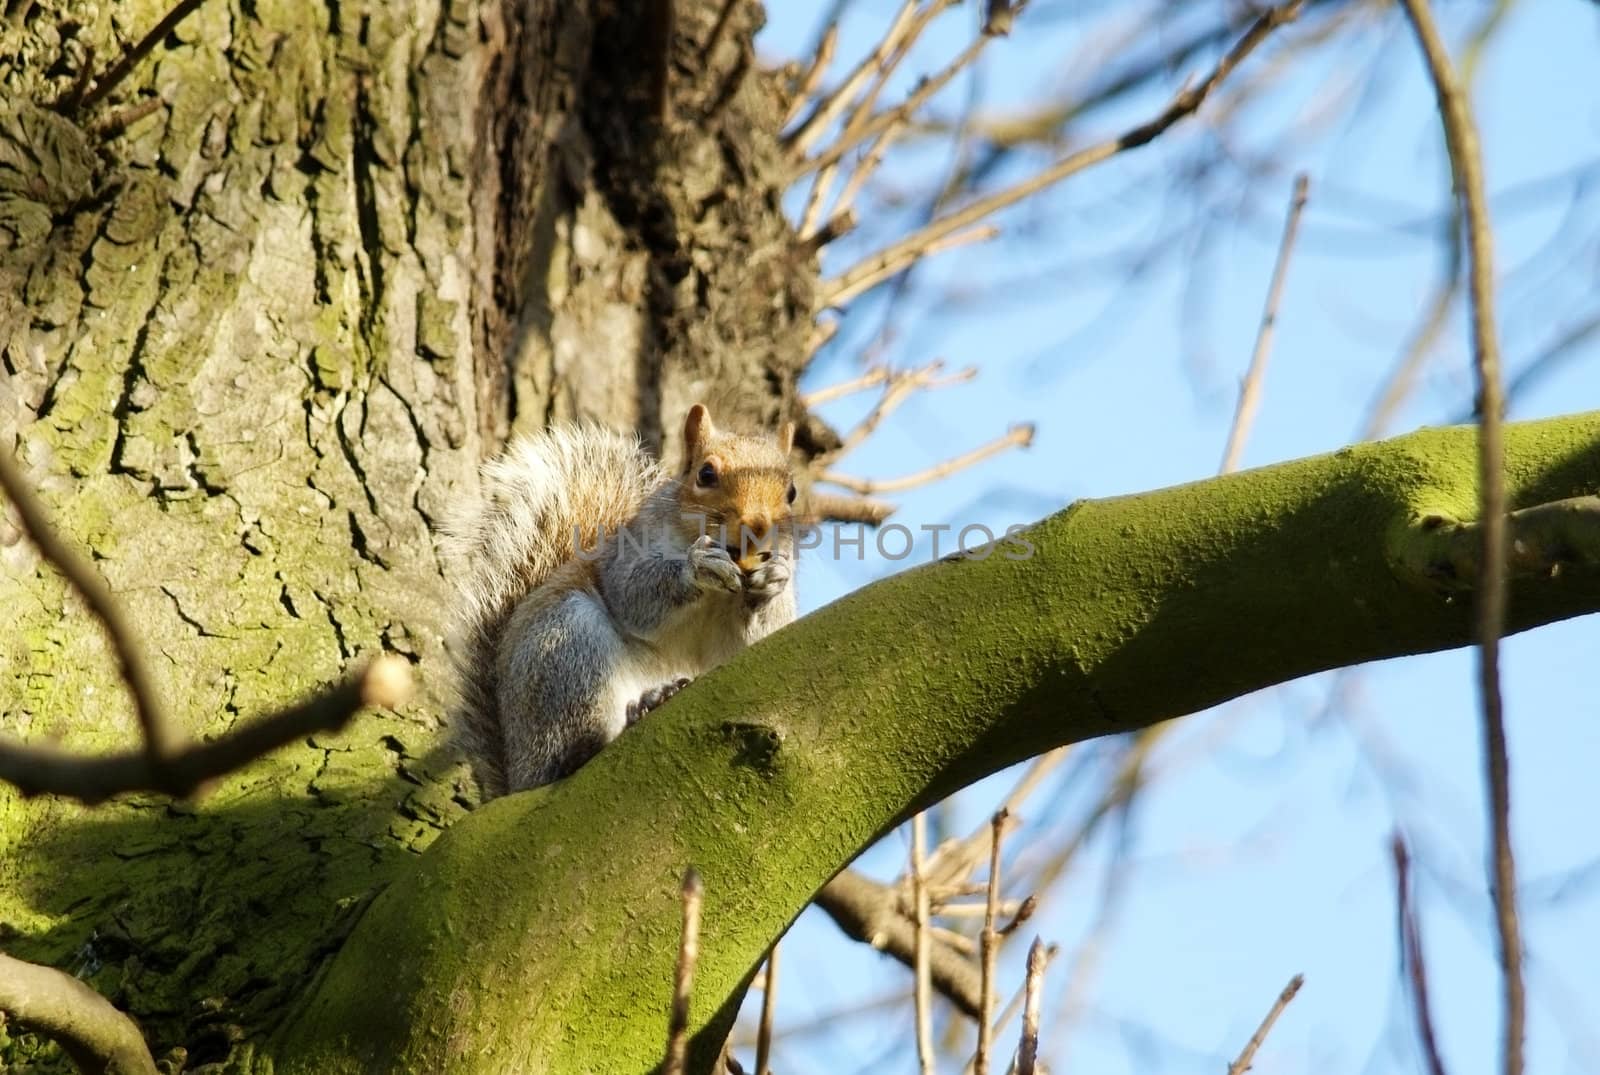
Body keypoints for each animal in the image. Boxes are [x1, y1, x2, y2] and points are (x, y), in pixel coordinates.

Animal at [441, 404, 796, 796]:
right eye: (706, 474)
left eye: (792, 492)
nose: (758, 526)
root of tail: (519, 777)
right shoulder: (624, 557)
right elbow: (634, 595)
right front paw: (697, 567)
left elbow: (749, 643)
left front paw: (774, 579)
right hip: (566, 649)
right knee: (567, 753)